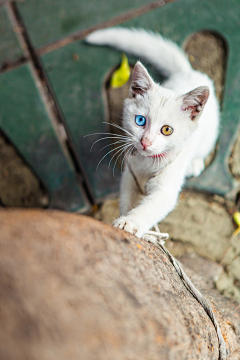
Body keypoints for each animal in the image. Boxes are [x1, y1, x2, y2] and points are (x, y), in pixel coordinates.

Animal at [86, 27, 219, 236]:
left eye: (167, 130)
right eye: (140, 120)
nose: (145, 142)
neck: (146, 163)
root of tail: (188, 72)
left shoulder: (166, 186)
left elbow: (150, 208)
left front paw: (129, 222)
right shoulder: (130, 175)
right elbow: (127, 198)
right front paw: (124, 216)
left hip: (208, 136)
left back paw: (195, 163)